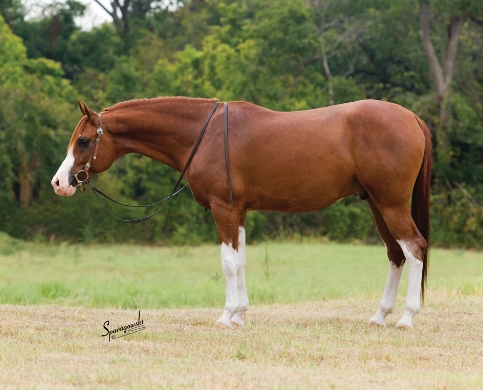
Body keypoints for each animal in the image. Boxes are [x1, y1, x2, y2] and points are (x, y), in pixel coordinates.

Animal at [52, 97, 432, 330]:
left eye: (83, 141)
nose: (59, 182)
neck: (202, 135)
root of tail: (412, 117)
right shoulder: (240, 211)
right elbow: (242, 259)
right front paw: (240, 314)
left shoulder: (223, 208)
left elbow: (228, 262)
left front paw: (226, 316)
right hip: (376, 204)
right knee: (396, 253)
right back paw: (380, 316)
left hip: (390, 203)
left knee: (414, 248)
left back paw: (407, 318)